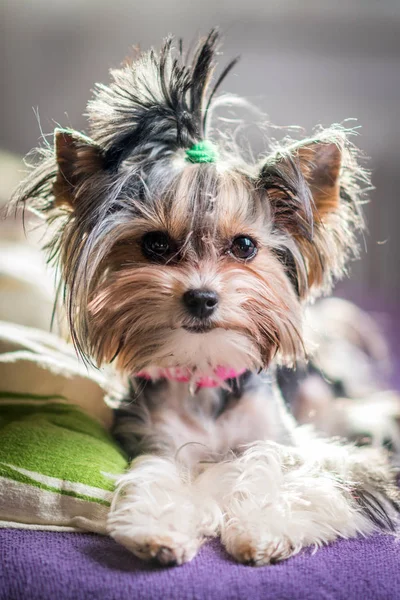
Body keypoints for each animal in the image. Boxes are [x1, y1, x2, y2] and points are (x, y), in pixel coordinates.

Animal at [12, 29, 400, 568]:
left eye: (244, 246)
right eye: (155, 244)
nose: (201, 297)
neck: (204, 366)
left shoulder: (291, 442)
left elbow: (275, 466)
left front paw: (261, 526)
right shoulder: (154, 437)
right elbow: (160, 473)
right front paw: (160, 531)